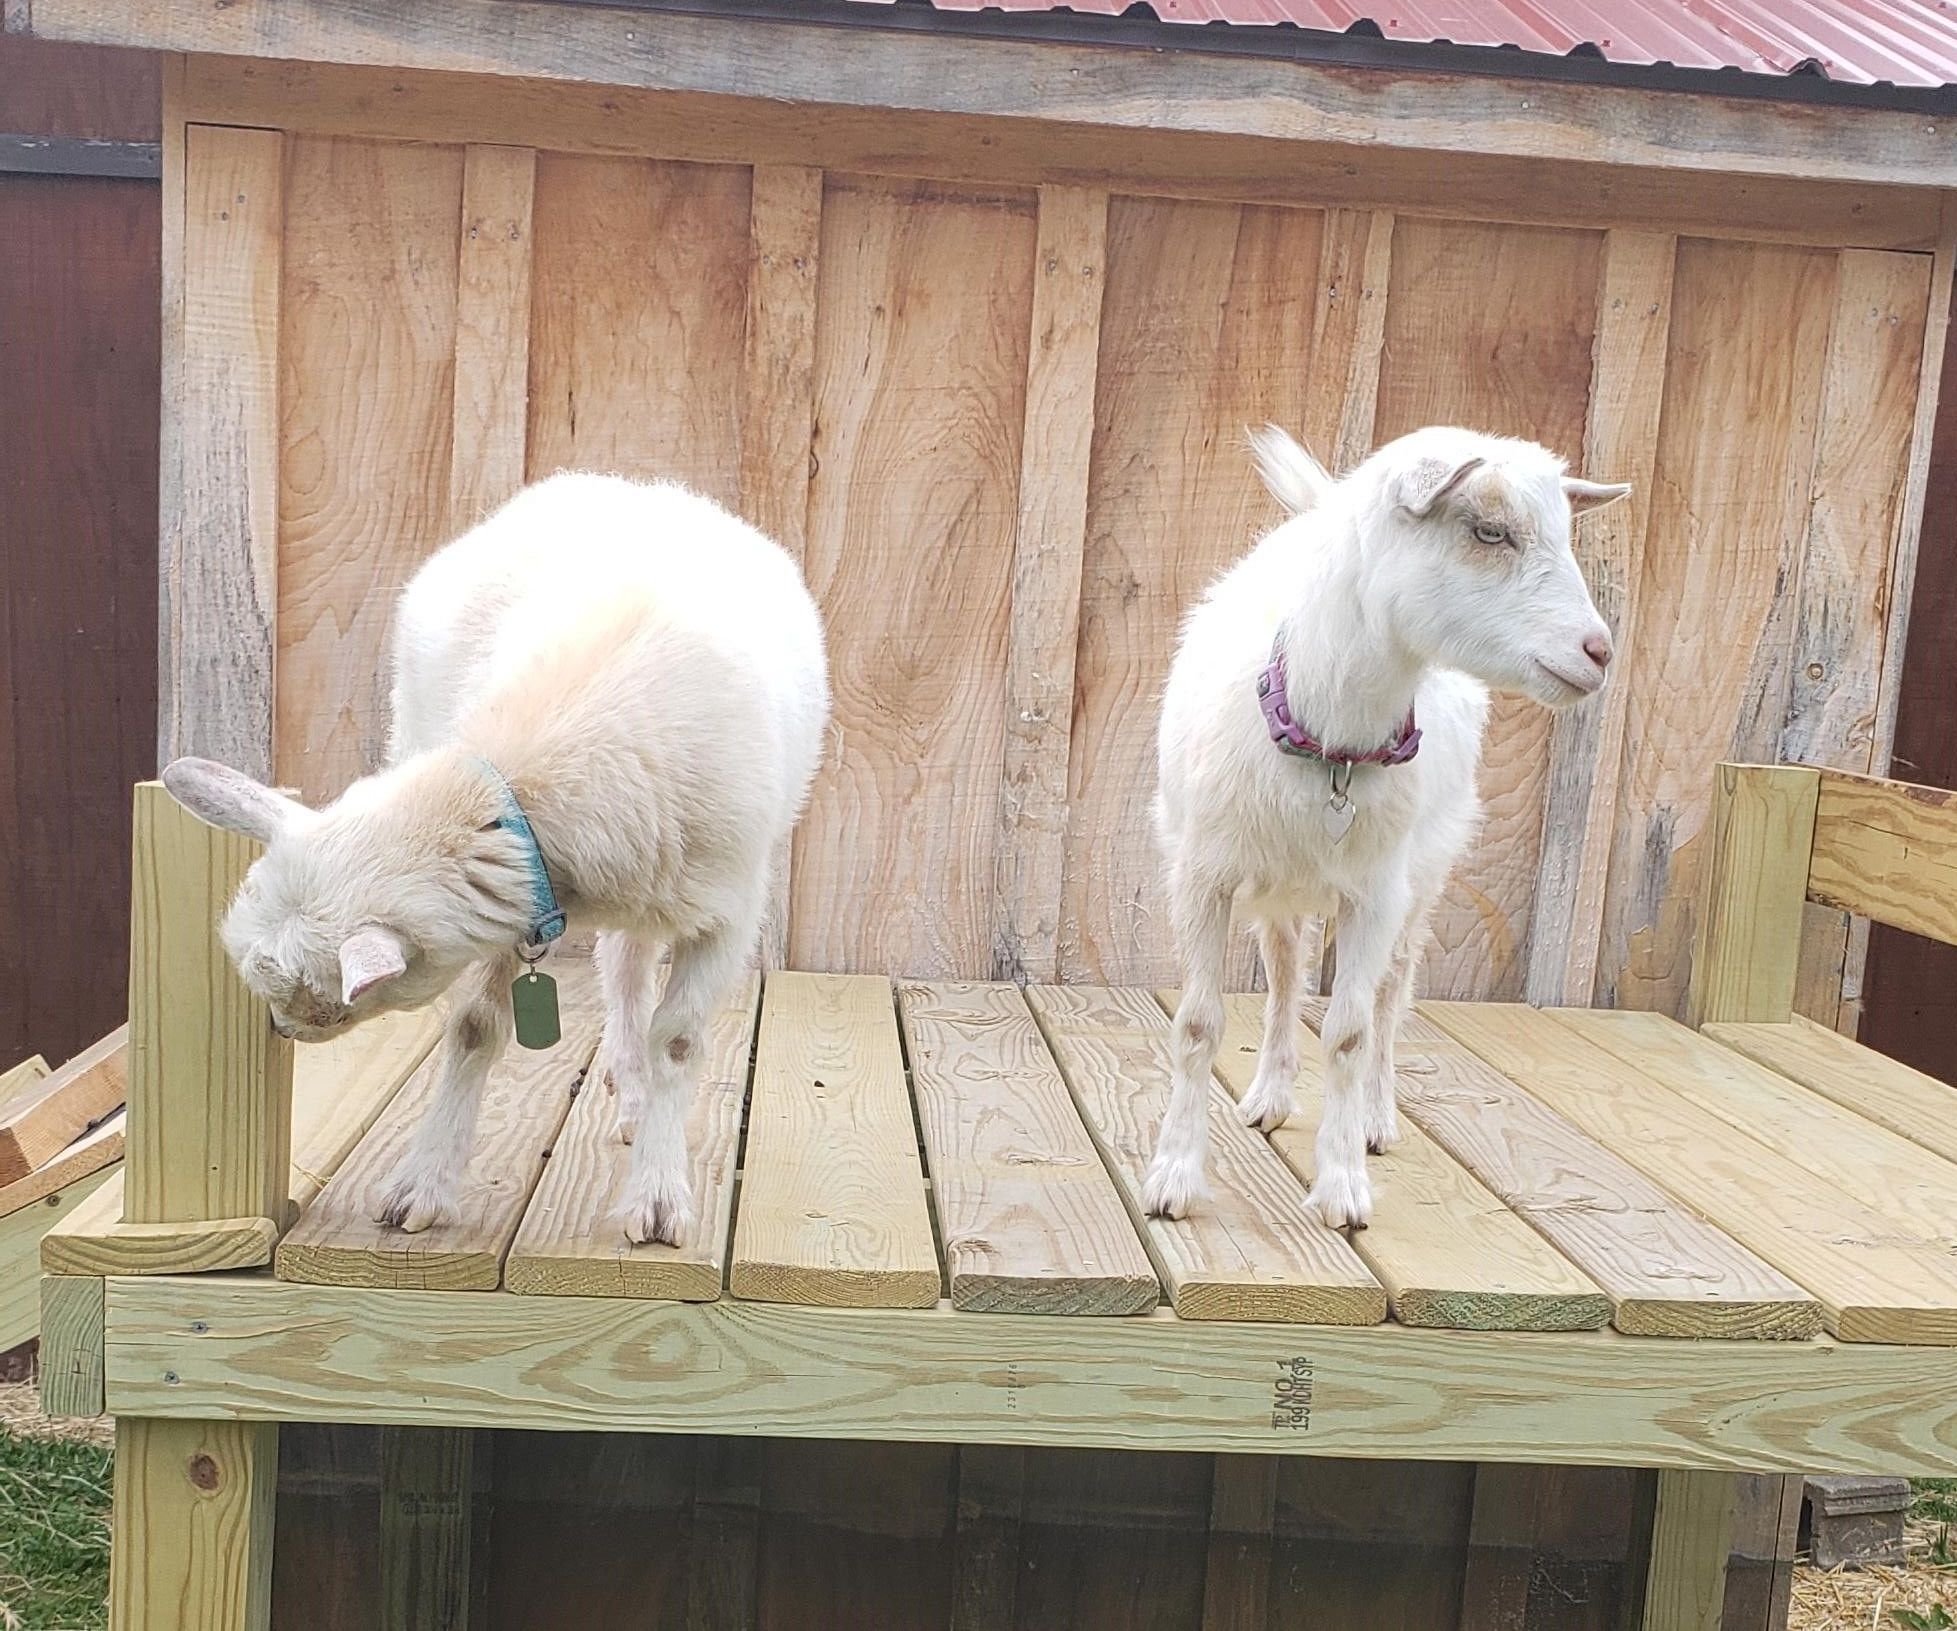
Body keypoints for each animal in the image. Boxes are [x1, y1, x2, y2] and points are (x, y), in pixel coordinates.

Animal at [162, 471, 831, 1247]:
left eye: (319, 996)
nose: (281, 1030)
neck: (517, 787)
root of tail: (622, 482)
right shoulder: (514, 907)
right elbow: (475, 1027)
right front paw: (420, 1185)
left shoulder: (727, 912)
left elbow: (680, 1042)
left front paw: (659, 1200)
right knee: (625, 968)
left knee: (629, 968)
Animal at [1141, 425, 1626, 1230]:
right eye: (1489, 530)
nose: (1598, 653)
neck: (1327, 740)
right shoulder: (1200, 875)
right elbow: (1198, 1024)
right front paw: (1173, 1177)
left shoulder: (1375, 893)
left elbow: (1349, 1031)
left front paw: (1341, 1186)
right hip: (1279, 885)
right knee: (1284, 975)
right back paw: (1269, 1094)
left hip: (1421, 878)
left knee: (1392, 995)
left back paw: (1373, 1117)